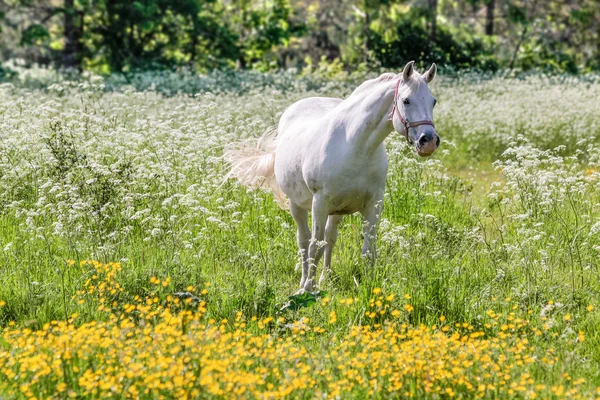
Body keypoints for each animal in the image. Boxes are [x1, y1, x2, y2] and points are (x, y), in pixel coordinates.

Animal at [227, 61, 438, 290]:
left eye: (433, 101)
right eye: (406, 100)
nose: (429, 141)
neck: (356, 147)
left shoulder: (374, 204)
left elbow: (368, 251)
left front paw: (370, 289)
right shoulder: (319, 203)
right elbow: (314, 246)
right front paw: (307, 289)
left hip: (336, 211)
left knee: (330, 237)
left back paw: (325, 277)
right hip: (298, 205)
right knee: (304, 241)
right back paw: (304, 281)